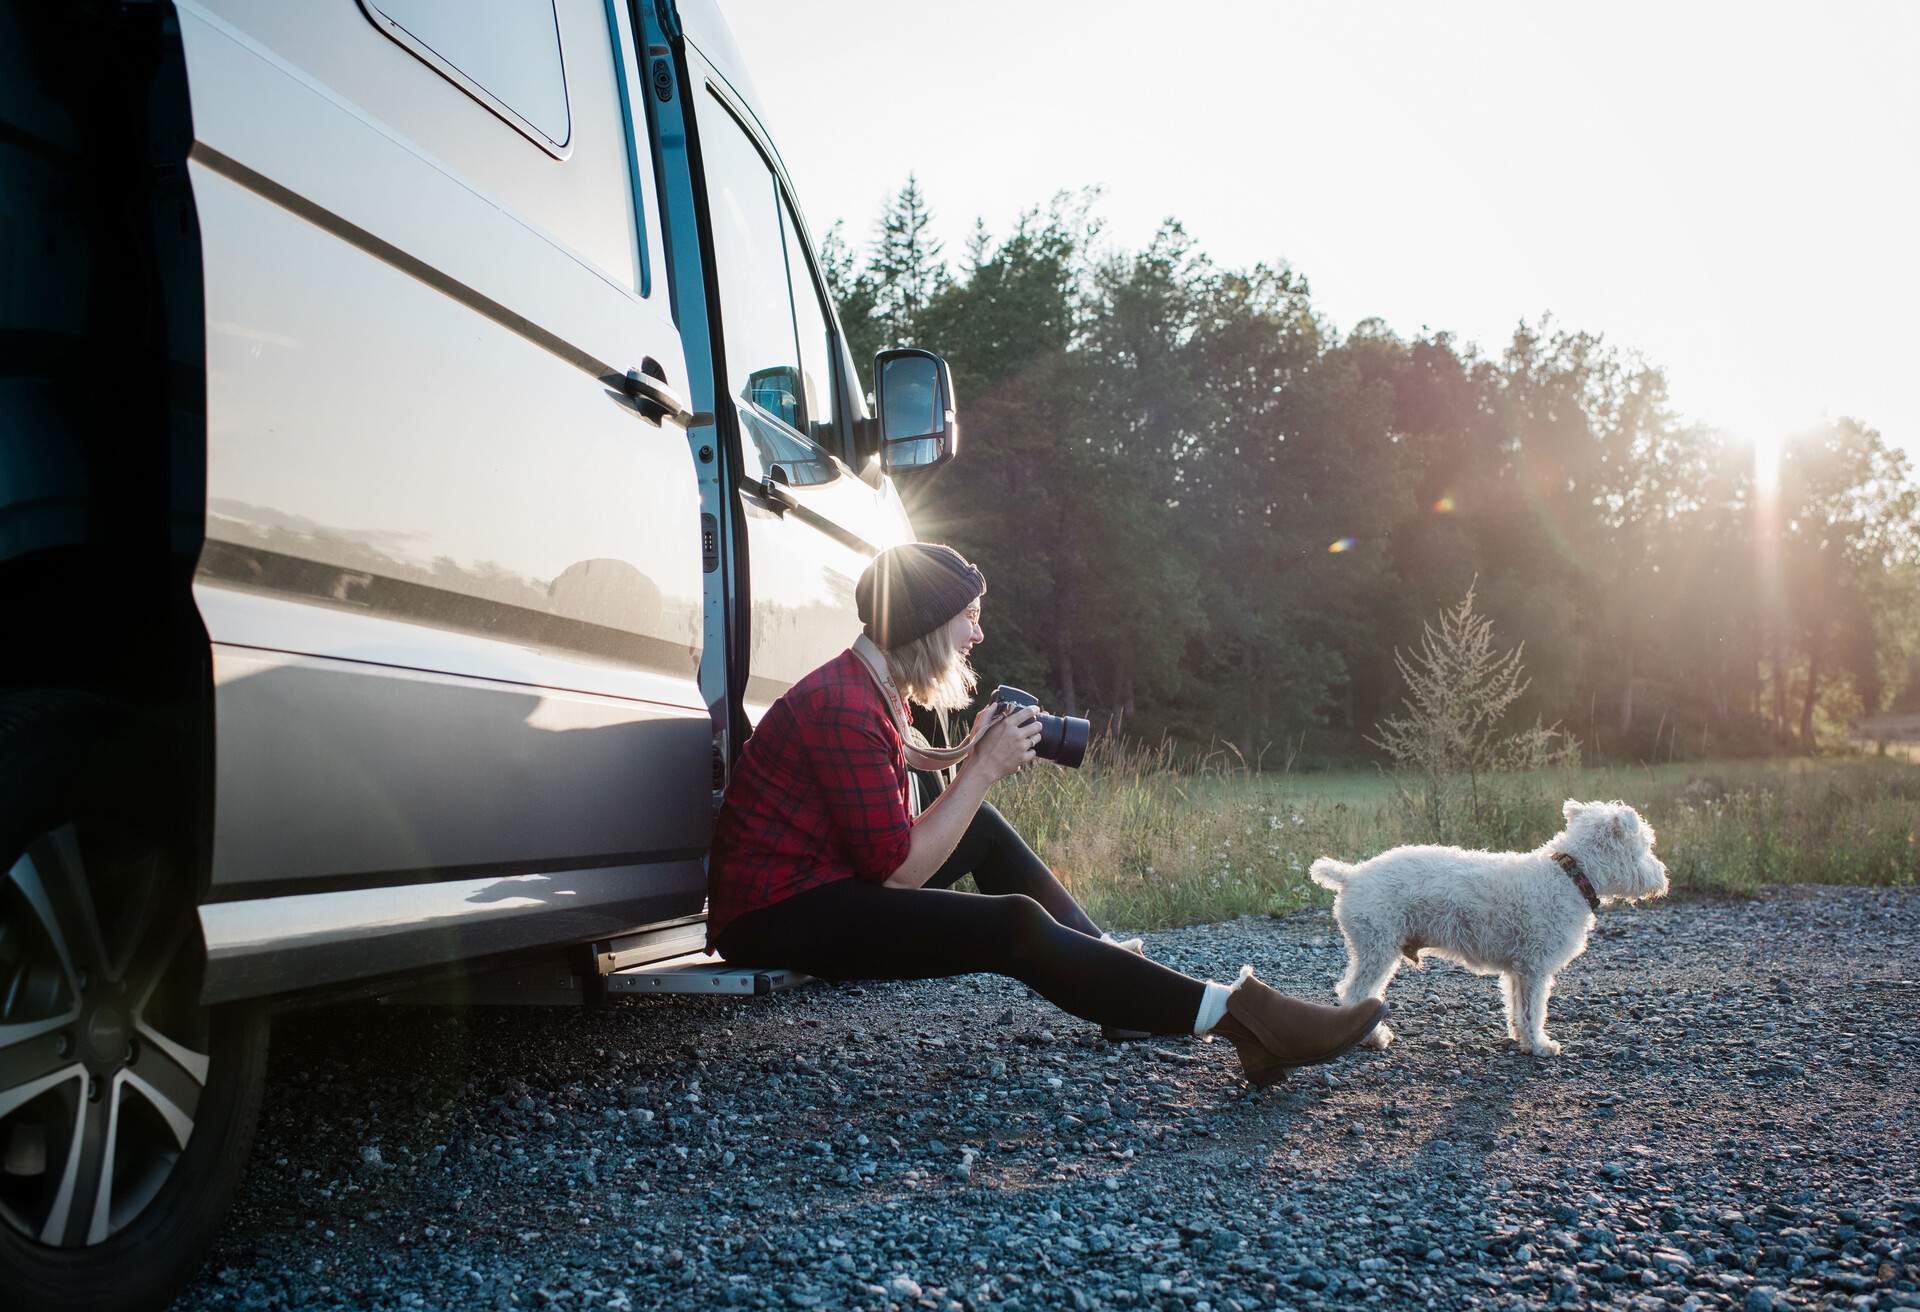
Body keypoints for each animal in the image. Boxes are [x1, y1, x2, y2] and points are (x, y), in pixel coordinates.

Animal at [1305, 799, 1666, 1060]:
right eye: (1646, 847)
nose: (1663, 877)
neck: (1570, 875)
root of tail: (1352, 875)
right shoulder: (1536, 967)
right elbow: (1535, 1010)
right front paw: (1540, 1046)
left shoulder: (1519, 970)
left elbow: (1519, 1008)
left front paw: (1523, 1040)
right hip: (1377, 948)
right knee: (1354, 993)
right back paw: (1374, 1037)